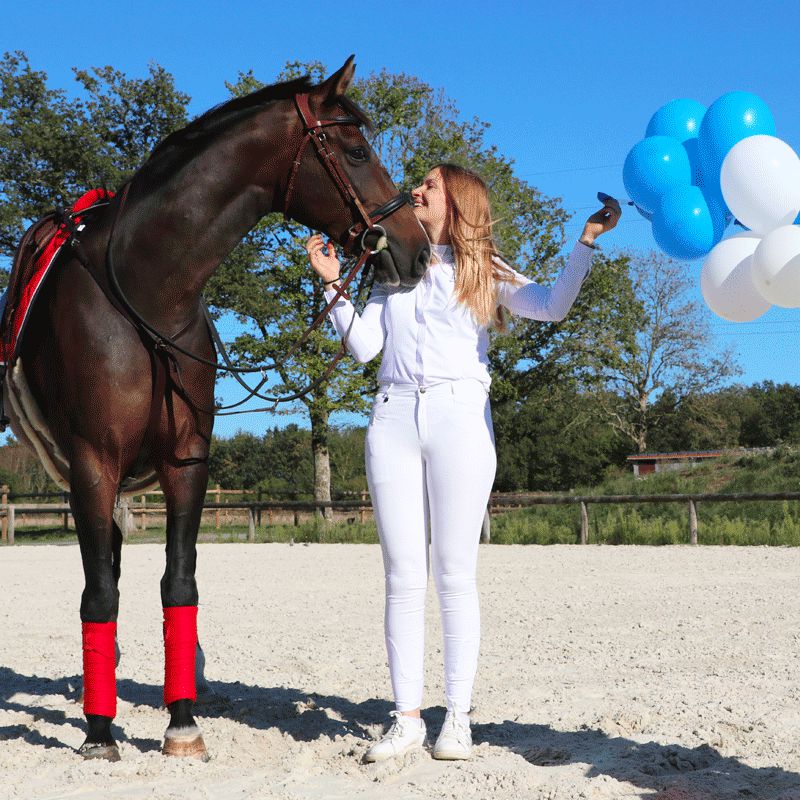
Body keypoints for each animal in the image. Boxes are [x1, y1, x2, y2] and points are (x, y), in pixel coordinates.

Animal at [3, 57, 428, 764]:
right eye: (356, 150)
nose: (415, 249)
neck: (146, 296)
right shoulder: (94, 463)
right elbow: (99, 593)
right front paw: (99, 733)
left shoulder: (186, 464)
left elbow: (177, 585)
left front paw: (180, 724)